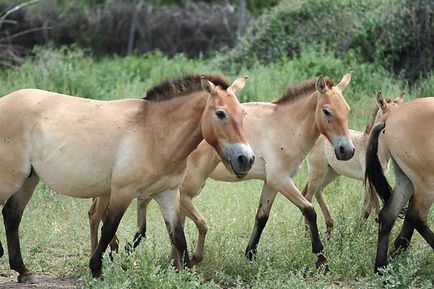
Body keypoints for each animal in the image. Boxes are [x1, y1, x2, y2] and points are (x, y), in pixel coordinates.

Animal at [0, 72, 254, 282]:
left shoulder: (168, 194)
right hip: (11, 179)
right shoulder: (123, 192)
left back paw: (24, 271)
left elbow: (178, 237)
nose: (246, 159)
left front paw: (186, 272)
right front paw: (96, 269)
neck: (154, 133)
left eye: (243, 114)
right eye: (220, 113)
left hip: (29, 179)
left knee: (12, 216)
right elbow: (109, 228)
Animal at [90, 72, 354, 270]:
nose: (347, 150)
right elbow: (309, 211)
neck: (285, 125)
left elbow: (262, 217)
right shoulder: (281, 179)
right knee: (103, 214)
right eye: (327, 111)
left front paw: (250, 254)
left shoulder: (272, 182)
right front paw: (321, 259)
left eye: (348, 110)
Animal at [302, 91, 404, 234]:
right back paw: (307, 233)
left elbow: (367, 209)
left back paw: (329, 228)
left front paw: (357, 232)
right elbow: (374, 207)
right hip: (317, 172)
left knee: (318, 192)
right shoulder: (371, 180)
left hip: (331, 173)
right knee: (308, 196)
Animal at [364, 95, 434, 272]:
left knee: (388, 214)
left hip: (406, 180)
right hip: (427, 184)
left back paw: (381, 268)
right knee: (416, 215)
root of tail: (391, 117)